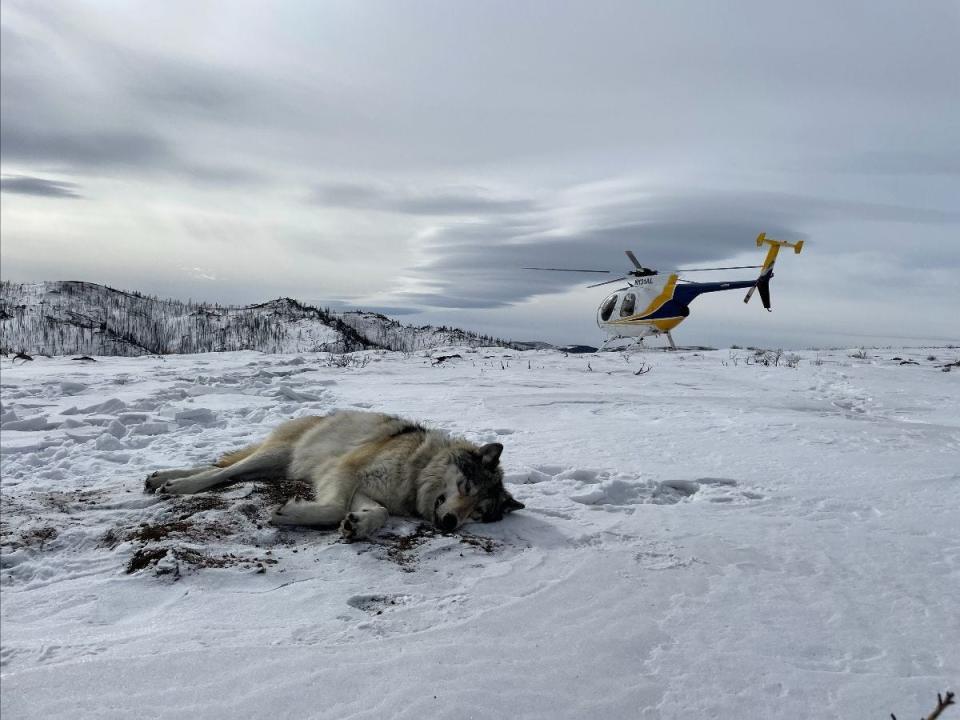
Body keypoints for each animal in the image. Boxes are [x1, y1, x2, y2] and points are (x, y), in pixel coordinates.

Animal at [142, 410, 520, 540]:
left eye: (479, 513)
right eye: (466, 486)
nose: (451, 523)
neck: (416, 469)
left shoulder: (368, 491)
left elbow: (379, 512)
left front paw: (358, 525)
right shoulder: (345, 471)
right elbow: (336, 507)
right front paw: (290, 514)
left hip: (274, 465)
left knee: (221, 468)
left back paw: (160, 478)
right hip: (276, 454)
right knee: (223, 470)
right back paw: (178, 484)